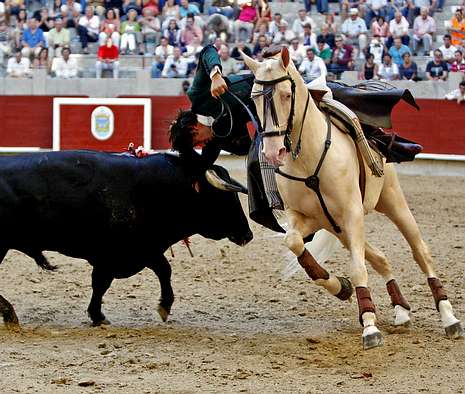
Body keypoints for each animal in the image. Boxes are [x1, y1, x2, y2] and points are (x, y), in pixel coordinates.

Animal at [0, 149, 250, 324]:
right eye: (224, 198)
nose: (247, 235)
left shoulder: (141, 250)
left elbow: (160, 270)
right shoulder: (119, 254)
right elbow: (105, 283)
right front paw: (99, 315)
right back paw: (9, 313)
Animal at [241, 47, 462, 350]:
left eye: (286, 94)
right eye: (253, 98)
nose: (273, 152)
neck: (308, 157)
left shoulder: (351, 212)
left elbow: (358, 269)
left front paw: (369, 327)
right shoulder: (308, 218)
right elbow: (294, 242)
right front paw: (341, 287)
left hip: (391, 201)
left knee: (420, 252)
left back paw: (449, 317)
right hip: (340, 228)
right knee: (381, 258)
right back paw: (401, 310)